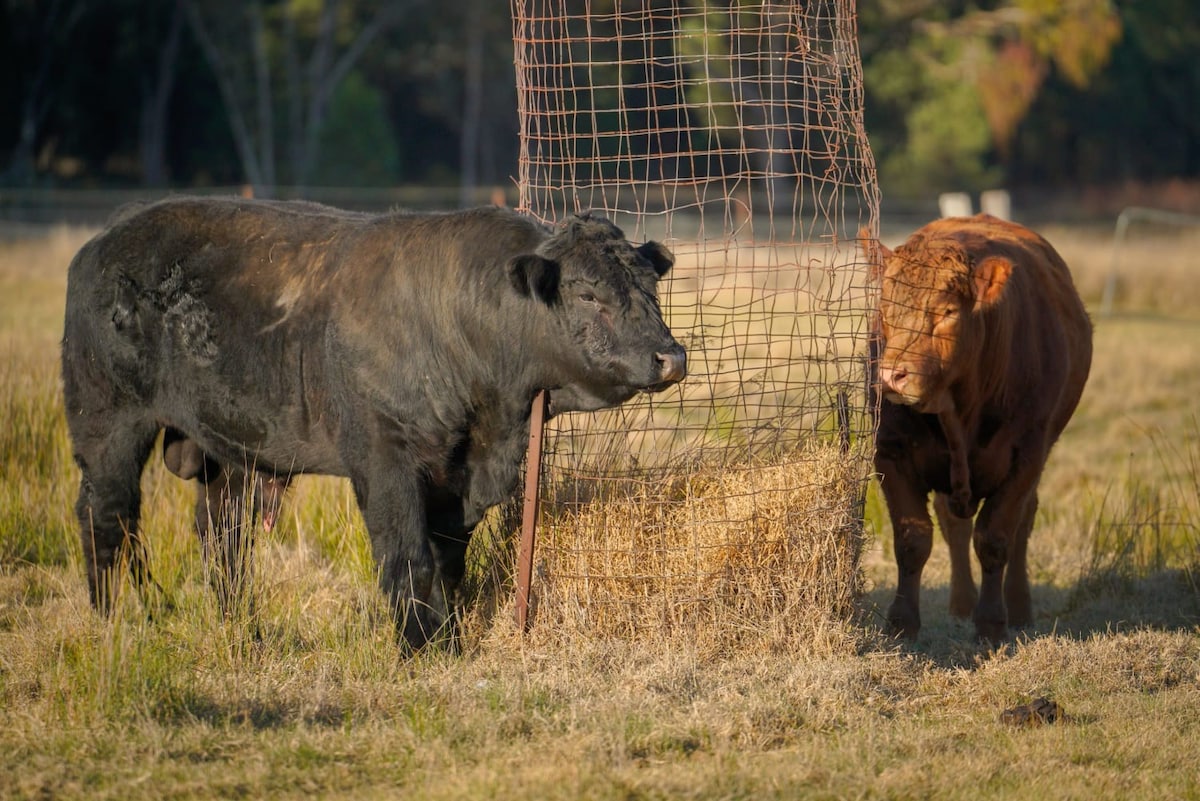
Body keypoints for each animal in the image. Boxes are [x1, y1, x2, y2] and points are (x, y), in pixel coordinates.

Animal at [63, 196, 686, 647]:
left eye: (650, 287)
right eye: (587, 294)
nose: (671, 356)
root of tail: (101, 242)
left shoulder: (458, 476)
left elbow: (446, 559)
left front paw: (451, 634)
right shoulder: (386, 461)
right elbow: (408, 557)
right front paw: (423, 647)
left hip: (231, 454)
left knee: (223, 537)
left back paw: (244, 630)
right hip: (107, 426)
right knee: (108, 520)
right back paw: (116, 621)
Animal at [868, 215, 1094, 642]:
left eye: (947, 311)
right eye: (885, 307)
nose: (892, 375)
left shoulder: (1025, 457)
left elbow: (995, 538)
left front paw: (991, 625)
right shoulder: (890, 451)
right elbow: (912, 538)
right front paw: (902, 624)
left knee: (1022, 523)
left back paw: (1018, 609)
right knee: (953, 522)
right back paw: (961, 604)